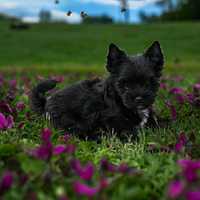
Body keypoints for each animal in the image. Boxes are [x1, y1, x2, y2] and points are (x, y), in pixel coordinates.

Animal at [30, 41, 164, 138]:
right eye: (124, 85)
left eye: (148, 83)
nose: (139, 98)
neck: (118, 99)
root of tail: (45, 104)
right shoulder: (111, 120)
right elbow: (127, 132)